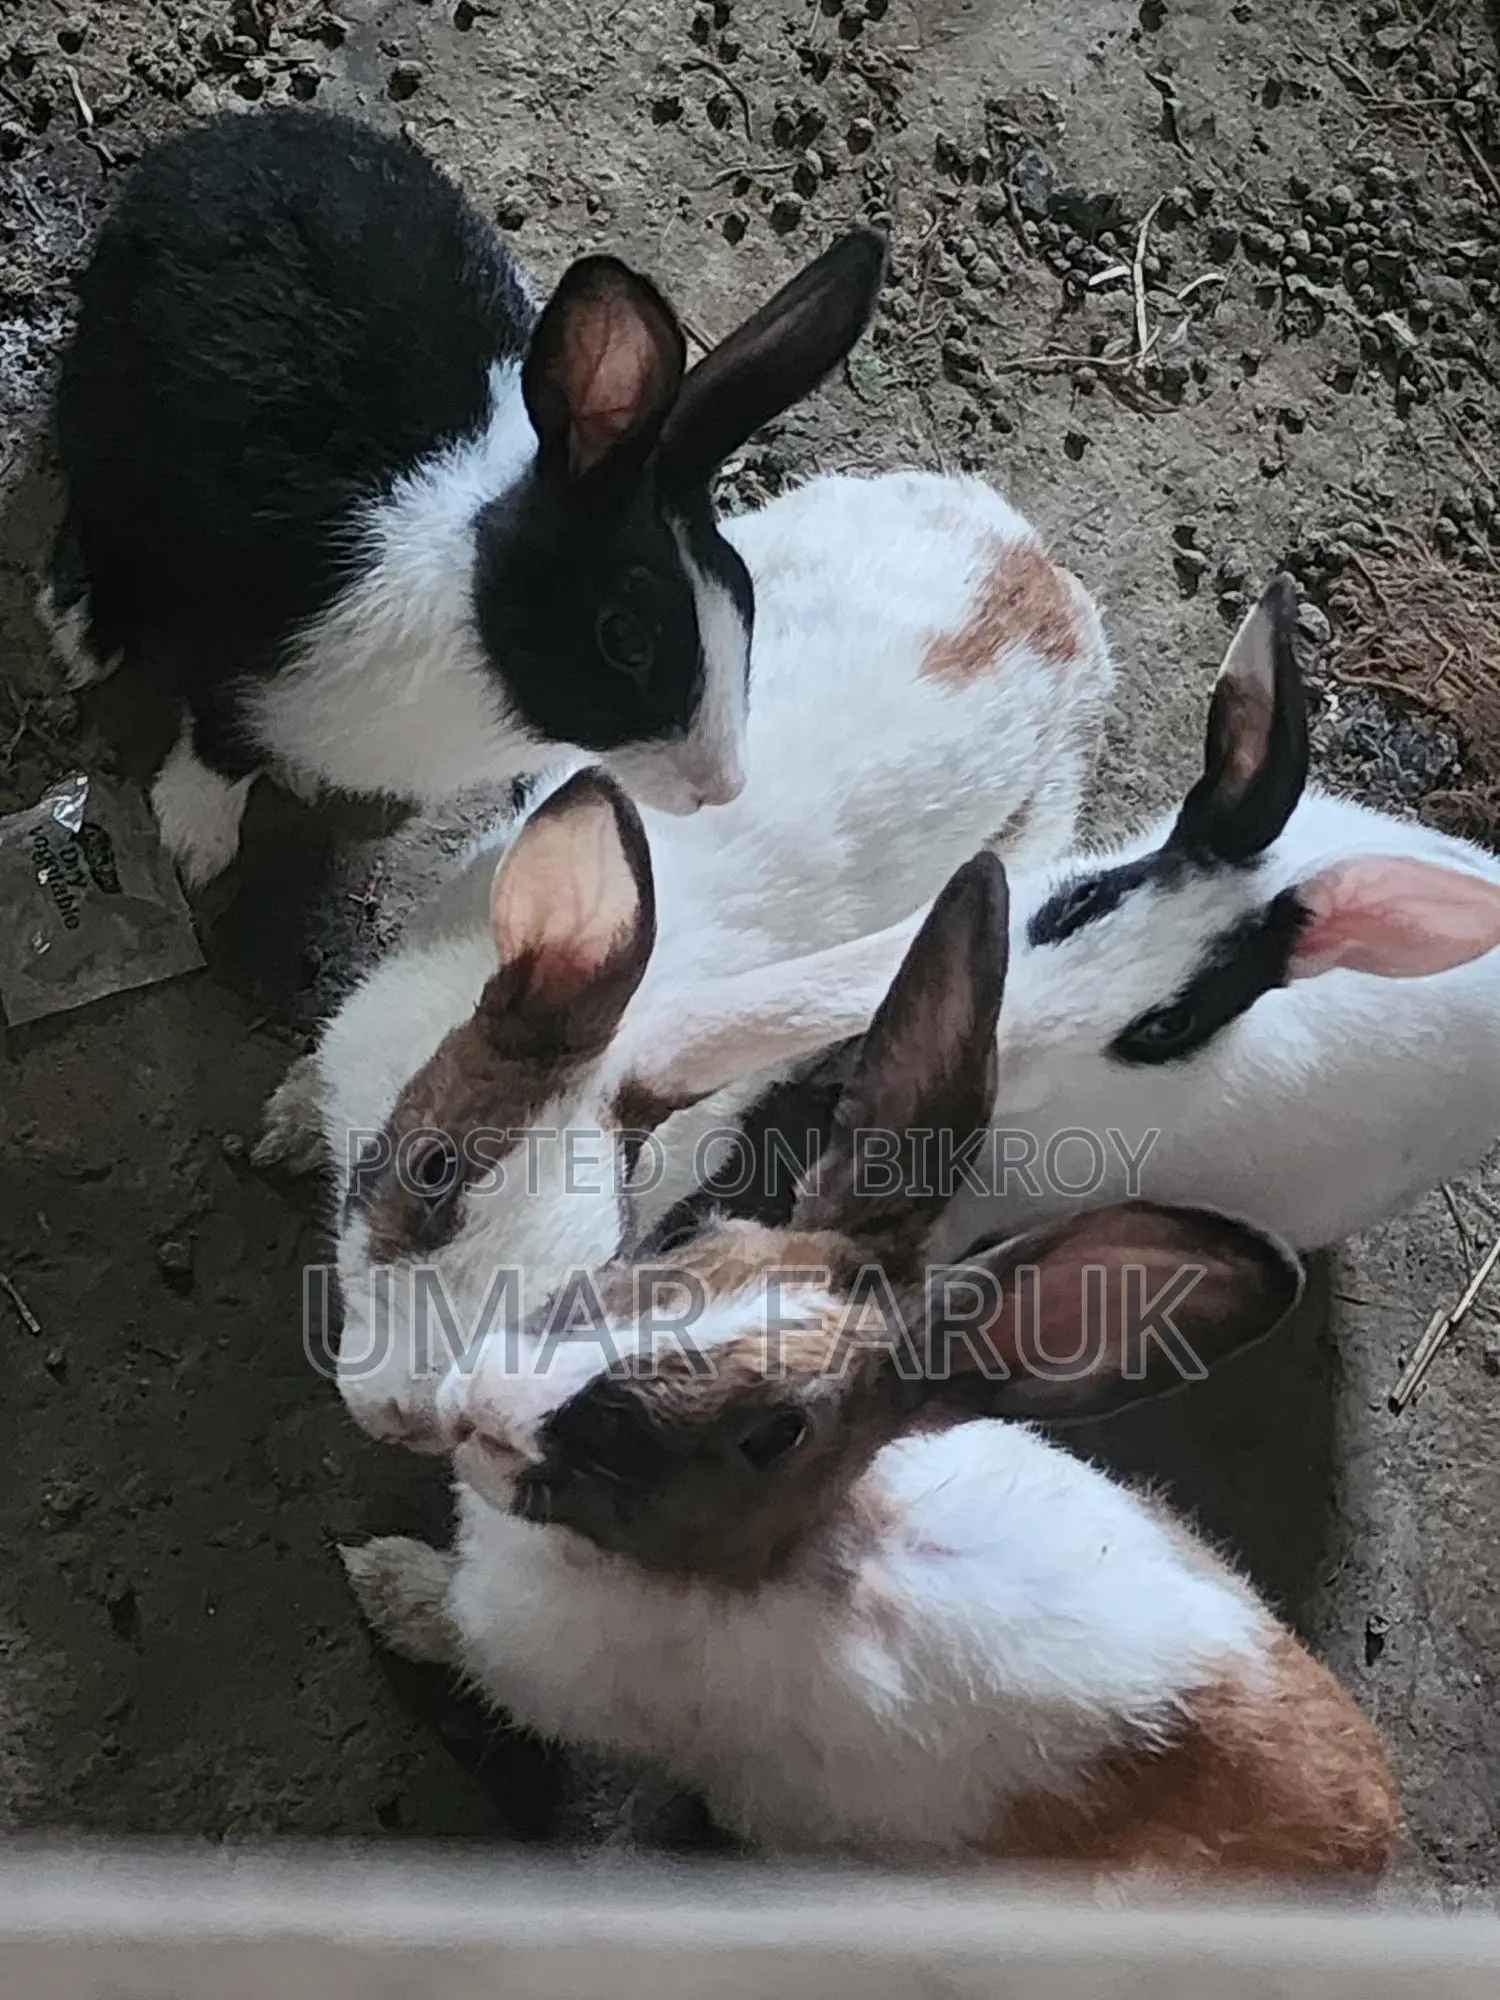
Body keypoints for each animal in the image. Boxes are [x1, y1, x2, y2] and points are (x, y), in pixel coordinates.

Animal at [37, 103, 886, 887]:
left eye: (743, 598)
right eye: (624, 637)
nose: (720, 788)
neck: (471, 607)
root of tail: (208, 141)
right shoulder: (240, 643)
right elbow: (223, 741)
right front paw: (192, 844)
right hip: (108, 415)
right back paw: (83, 630)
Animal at [339, 852, 1400, 1881]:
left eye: (777, 1435)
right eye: (691, 1243)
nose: (488, 1407)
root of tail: (1372, 1837)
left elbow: (450, 1628)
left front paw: (381, 1581)